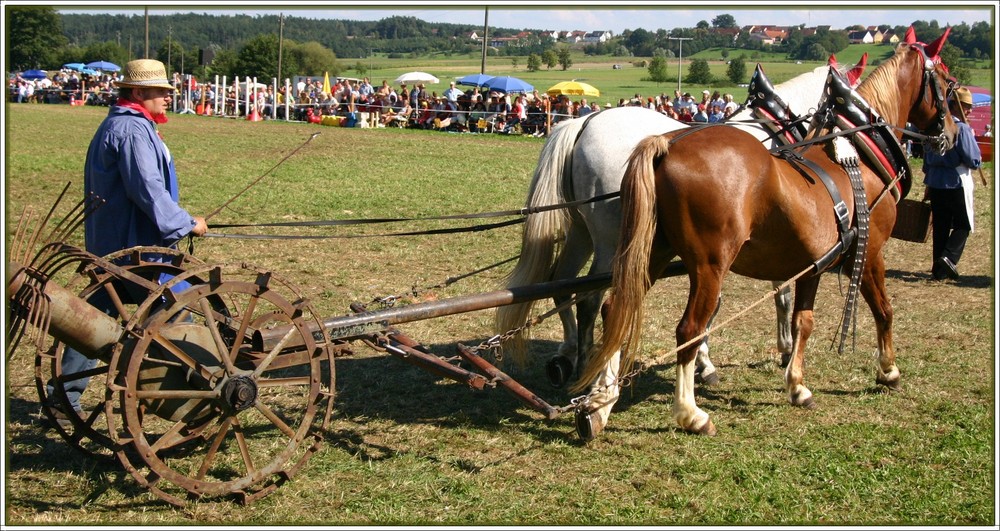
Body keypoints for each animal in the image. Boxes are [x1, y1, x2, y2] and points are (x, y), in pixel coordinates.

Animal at [496, 59, 864, 390]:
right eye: (857, 104)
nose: (857, 150)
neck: (773, 131)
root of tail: (584, 122)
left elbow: (770, 296)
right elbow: (765, 297)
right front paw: (715, 361)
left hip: (581, 232)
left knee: (562, 283)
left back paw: (569, 355)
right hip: (611, 241)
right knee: (590, 297)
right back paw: (589, 363)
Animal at [576, 30, 956, 440]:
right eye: (948, 83)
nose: (952, 133)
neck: (858, 155)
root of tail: (667, 144)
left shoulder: (812, 264)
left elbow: (803, 320)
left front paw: (798, 385)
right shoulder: (869, 253)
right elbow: (884, 310)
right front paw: (888, 370)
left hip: (652, 253)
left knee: (615, 307)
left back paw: (601, 399)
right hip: (709, 266)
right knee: (688, 328)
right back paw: (690, 413)